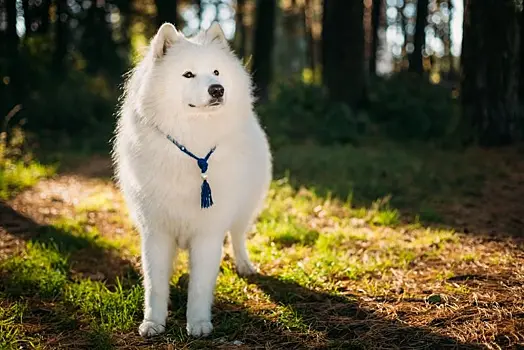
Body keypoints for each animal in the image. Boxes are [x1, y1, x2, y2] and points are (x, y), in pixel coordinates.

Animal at [112, 21, 272, 336]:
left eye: (216, 72)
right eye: (188, 74)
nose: (217, 89)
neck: (193, 145)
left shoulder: (208, 231)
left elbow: (199, 286)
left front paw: (198, 323)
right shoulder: (156, 231)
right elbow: (155, 284)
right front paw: (153, 322)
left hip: (244, 209)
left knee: (238, 236)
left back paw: (245, 265)